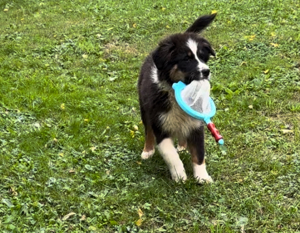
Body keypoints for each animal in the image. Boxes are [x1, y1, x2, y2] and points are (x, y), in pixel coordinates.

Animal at [137, 13, 217, 183]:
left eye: (203, 58)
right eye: (186, 59)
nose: (206, 71)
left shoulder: (197, 126)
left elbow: (199, 154)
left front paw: (202, 177)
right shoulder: (160, 125)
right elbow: (170, 153)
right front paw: (179, 175)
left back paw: (182, 146)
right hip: (144, 109)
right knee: (148, 131)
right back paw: (148, 151)